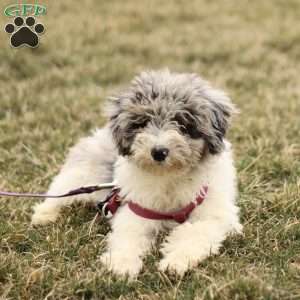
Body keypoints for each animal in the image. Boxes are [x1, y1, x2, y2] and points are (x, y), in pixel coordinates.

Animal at [32, 69, 241, 278]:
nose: (159, 152)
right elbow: (129, 236)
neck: (169, 176)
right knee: (60, 192)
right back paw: (44, 215)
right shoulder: (137, 209)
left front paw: (175, 262)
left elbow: (196, 233)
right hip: (82, 174)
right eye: (143, 122)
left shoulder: (214, 214)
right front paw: (122, 264)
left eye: (182, 123)